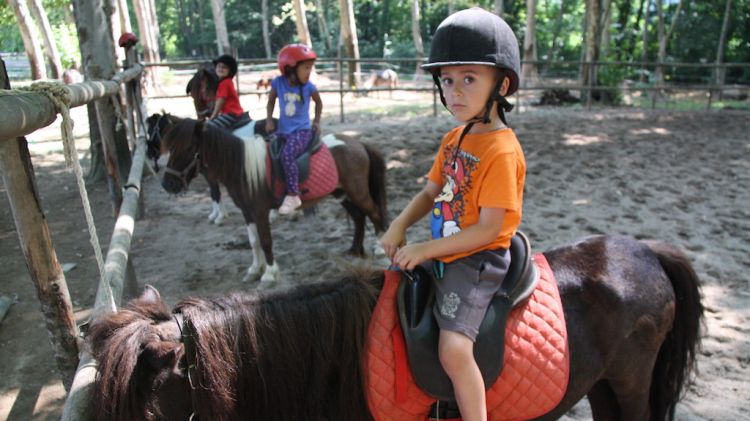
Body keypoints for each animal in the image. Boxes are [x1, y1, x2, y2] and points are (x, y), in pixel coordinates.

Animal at [151, 113, 388, 280]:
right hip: (342, 194)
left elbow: (266, 241)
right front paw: (255, 269)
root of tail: (359, 144)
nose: (167, 184)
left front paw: (270, 273)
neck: (242, 168)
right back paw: (354, 251)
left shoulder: (260, 211)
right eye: (171, 148)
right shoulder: (247, 211)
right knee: (359, 218)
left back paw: (381, 250)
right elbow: (254, 241)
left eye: (189, 147)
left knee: (375, 214)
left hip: (358, 193)